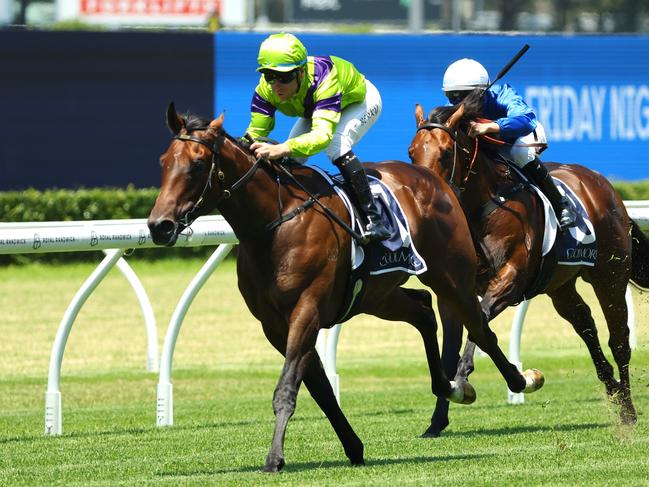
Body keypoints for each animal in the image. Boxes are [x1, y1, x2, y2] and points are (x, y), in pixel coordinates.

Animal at [146, 104, 540, 472]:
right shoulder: (275, 325)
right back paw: (449, 385)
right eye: (164, 162)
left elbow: (288, 387)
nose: (158, 225)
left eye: (197, 165)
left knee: (479, 327)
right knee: (423, 309)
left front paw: (274, 458)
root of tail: (434, 178)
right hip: (377, 295)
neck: (275, 223)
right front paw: (353, 447)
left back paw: (518, 381)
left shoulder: (306, 309)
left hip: (451, 276)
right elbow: (319, 388)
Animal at [410, 89, 648, 436]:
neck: (485, 205)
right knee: (586, 324)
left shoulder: (509, 280)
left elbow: (479, 324)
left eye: (444, 153)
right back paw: (614, 391)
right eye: (412, 153)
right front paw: (437, 420)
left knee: (619, 340)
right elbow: (450, 348)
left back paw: (628, 410)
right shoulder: (453, 293)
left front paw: (466, 380)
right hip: (560, 285)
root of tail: (604, 186)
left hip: (610, 275)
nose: (425, 194)